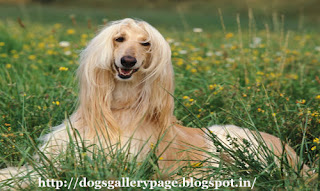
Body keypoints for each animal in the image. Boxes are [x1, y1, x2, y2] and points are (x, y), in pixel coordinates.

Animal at [0, 17, 310, 187]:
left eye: (146, 43)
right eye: (119, 38)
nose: (128, 61)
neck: (118, 110)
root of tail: (296, 156)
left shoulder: (119, 166)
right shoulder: (60, 156)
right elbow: (28, 172)